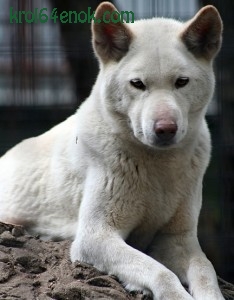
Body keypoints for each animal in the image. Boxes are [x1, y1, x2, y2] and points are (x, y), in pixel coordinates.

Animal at [0, 2, 224, 300]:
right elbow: (161, 273)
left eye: (181, 82)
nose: (165, 129)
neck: (159, 167)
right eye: (138, 84)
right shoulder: (95, 236)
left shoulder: (178, 240)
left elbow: (206, 271)